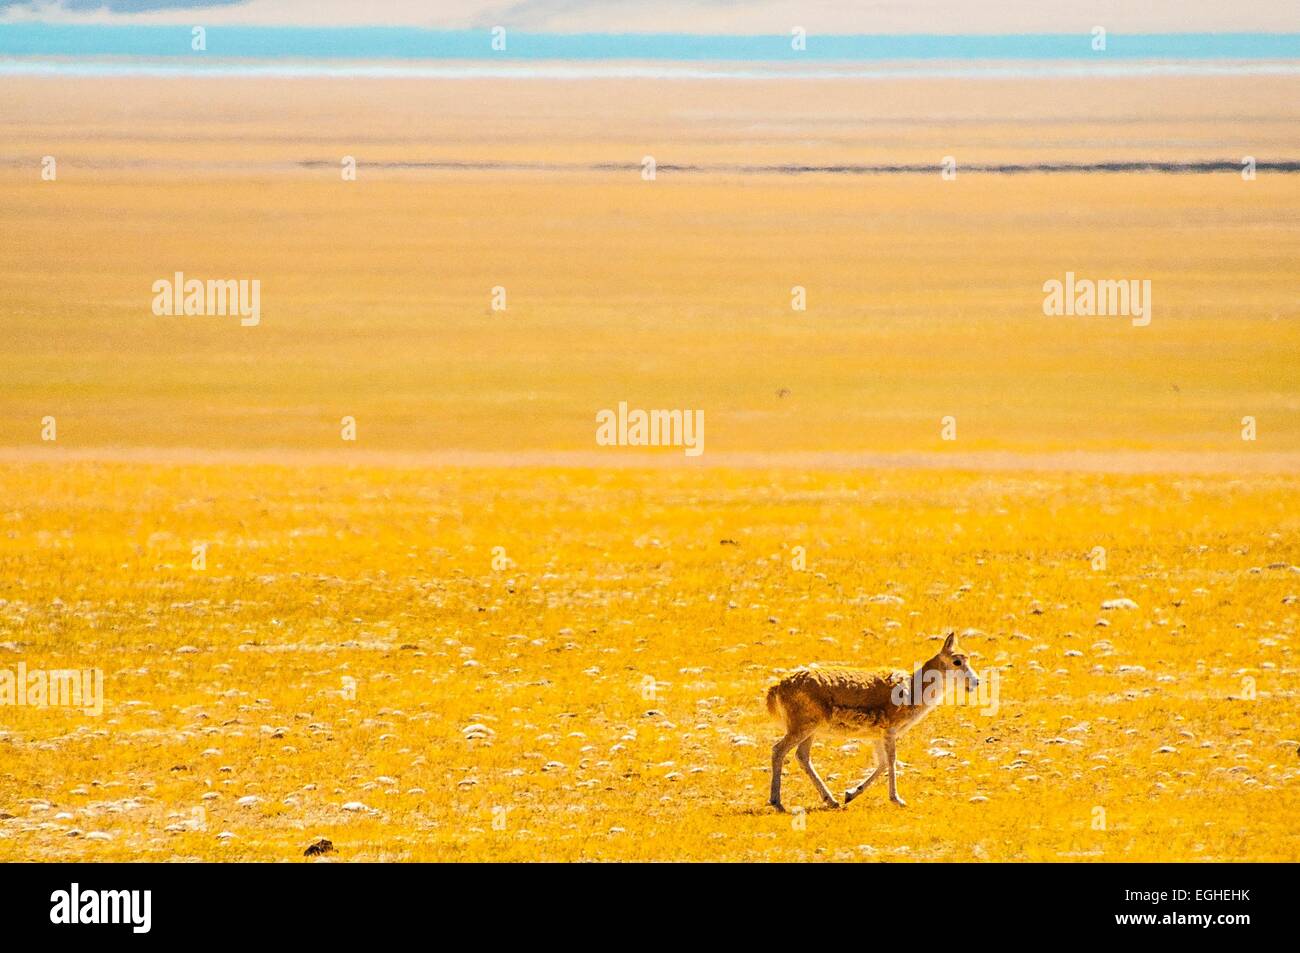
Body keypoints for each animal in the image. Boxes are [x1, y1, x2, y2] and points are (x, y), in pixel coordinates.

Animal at [759, 631, 977, 811]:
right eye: (957, 661)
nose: (976, 682)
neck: (914, 689)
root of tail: (776, 687)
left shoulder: (877, 736)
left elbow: (882, 763)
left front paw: (850, 794)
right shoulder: (890, 731)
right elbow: (891, 760)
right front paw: (897, 799)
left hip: (810, 731)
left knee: (802, 756)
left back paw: (832, 800)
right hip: (802, 728)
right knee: (778, 750)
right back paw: (777, 803)